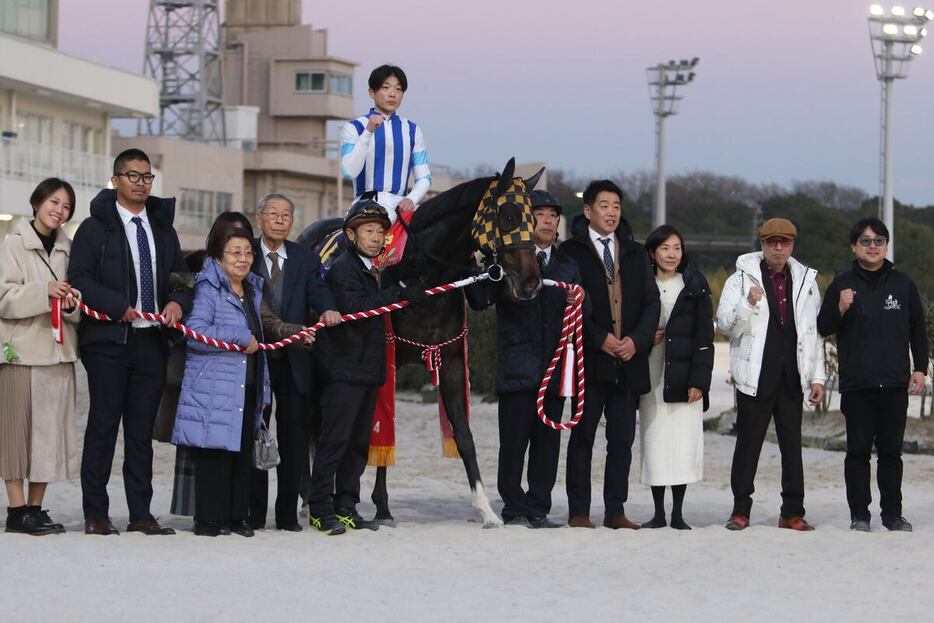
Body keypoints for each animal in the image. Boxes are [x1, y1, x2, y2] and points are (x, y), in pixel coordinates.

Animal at [300, 157, 544, 528]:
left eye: (533, 218)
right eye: (508, 217)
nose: (531, 283)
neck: (426, 275)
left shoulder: (452, 361)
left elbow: (464, 436)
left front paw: (486, 509)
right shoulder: (388, 364)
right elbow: (379, 433)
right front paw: (381, 507)